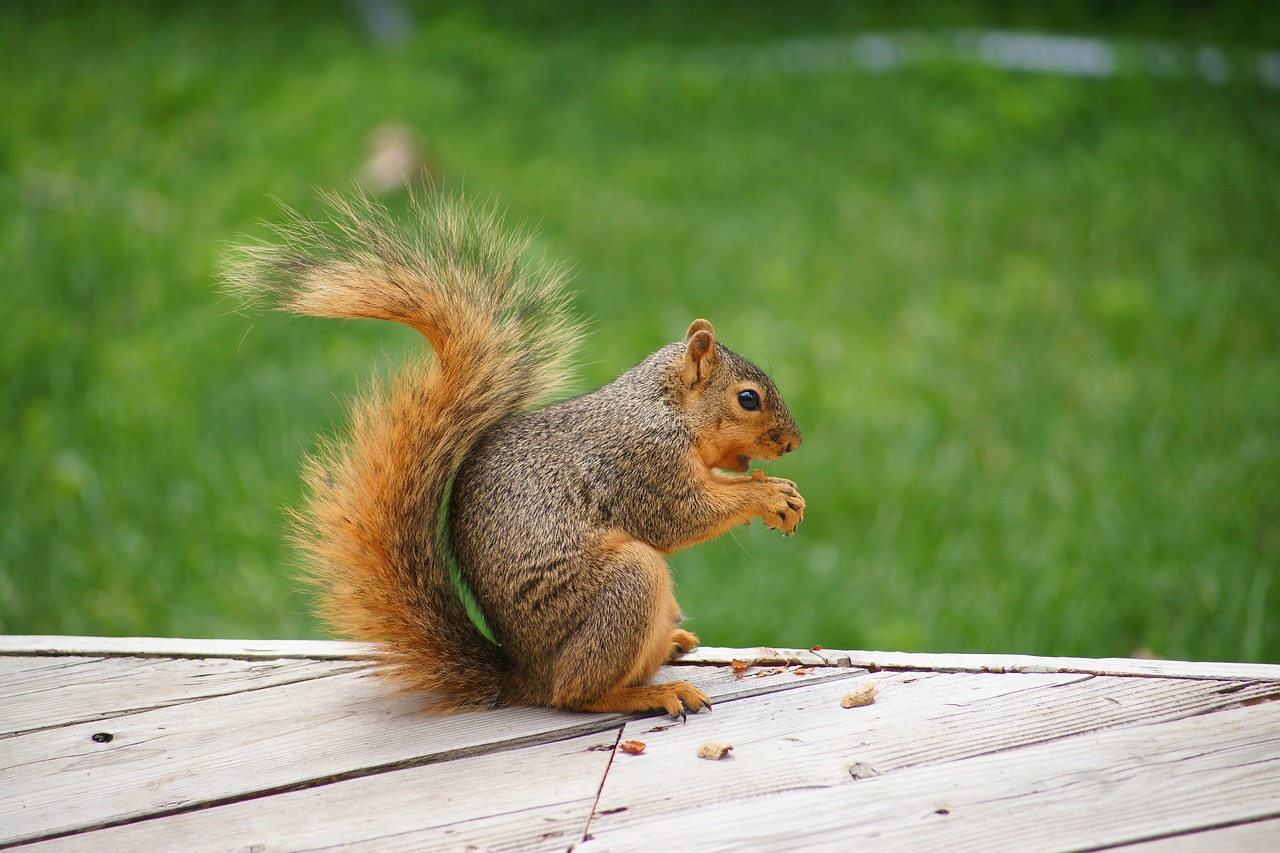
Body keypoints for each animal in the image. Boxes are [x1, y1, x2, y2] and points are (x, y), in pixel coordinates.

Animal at [220, 189, 798, 712]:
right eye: (748, 399)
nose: (792, 443)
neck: (664, 407)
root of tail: (528, 675)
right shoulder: (641, 462)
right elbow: (678, 517)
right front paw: (767, 496)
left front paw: (778, 491)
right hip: (626, 585)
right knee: (577, 694)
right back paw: (647, 694)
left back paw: (671, 646)